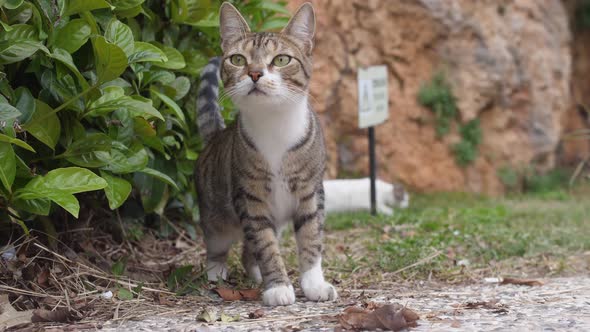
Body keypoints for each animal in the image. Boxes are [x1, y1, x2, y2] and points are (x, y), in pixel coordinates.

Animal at [195, 1, 338, 306]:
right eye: (238, 59)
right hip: (215, 216)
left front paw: (314, 284)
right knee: (218, 245)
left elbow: (311, 238)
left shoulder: (311, 192)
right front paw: (278, 287)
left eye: (282, 60)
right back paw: (216, 272)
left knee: (248, 251)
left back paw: (256, 275)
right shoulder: (250, 197)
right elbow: (266, 244)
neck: (274, 125)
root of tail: (216, 135)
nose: (255, 73)